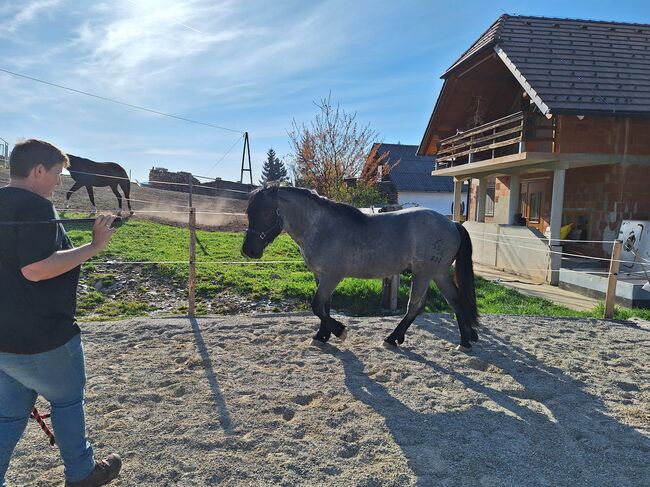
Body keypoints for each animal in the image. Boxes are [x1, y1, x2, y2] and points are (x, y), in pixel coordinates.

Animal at [240, 184, 478, 350]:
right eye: (249, 213)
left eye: (265, 213)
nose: (248, 251)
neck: (320, 227)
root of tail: (452, 224)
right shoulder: (320, 276)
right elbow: (324, 306)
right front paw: (321, 336)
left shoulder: (332, 277)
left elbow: (317, 306)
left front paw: (339, 331)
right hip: (438, 274)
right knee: (455, 301)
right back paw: (465, 341)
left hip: (424, 274)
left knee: (415, 306)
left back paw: (392, 339)